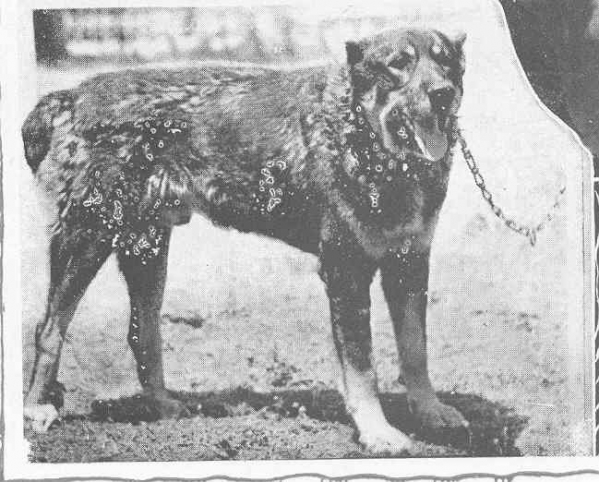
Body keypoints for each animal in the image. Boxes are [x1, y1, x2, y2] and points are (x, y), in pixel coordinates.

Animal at [22, 27, 468, 456]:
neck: (365, 138)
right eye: (397, 65)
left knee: (142, 329)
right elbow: (362, 368)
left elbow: (415, 349)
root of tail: (70, 97)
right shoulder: (346, 272)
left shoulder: (410, 264)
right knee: (50, 328)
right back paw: (36, 408)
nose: (443, 94)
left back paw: (162, 405)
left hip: (146, 247)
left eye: (445, 61)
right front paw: (377, 432)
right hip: (87, 237)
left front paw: (430, 410)